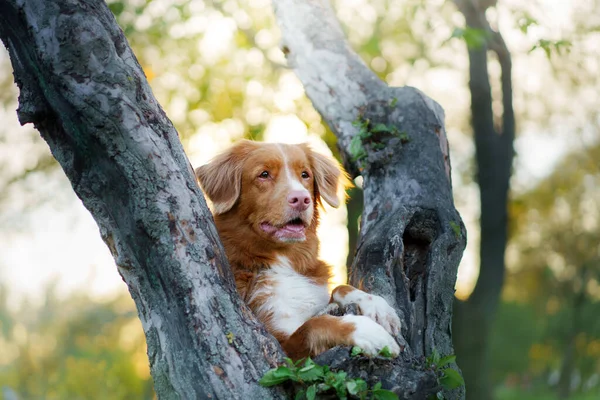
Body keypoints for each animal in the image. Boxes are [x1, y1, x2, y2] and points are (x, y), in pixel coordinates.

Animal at [197, 140, 400, 360]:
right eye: (264, 174)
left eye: (305, 174)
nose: (302, 199)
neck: (283, 259)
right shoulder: (281, 348)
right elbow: (315, 324)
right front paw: (369, 332)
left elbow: (339, 288)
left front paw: (377, 306)